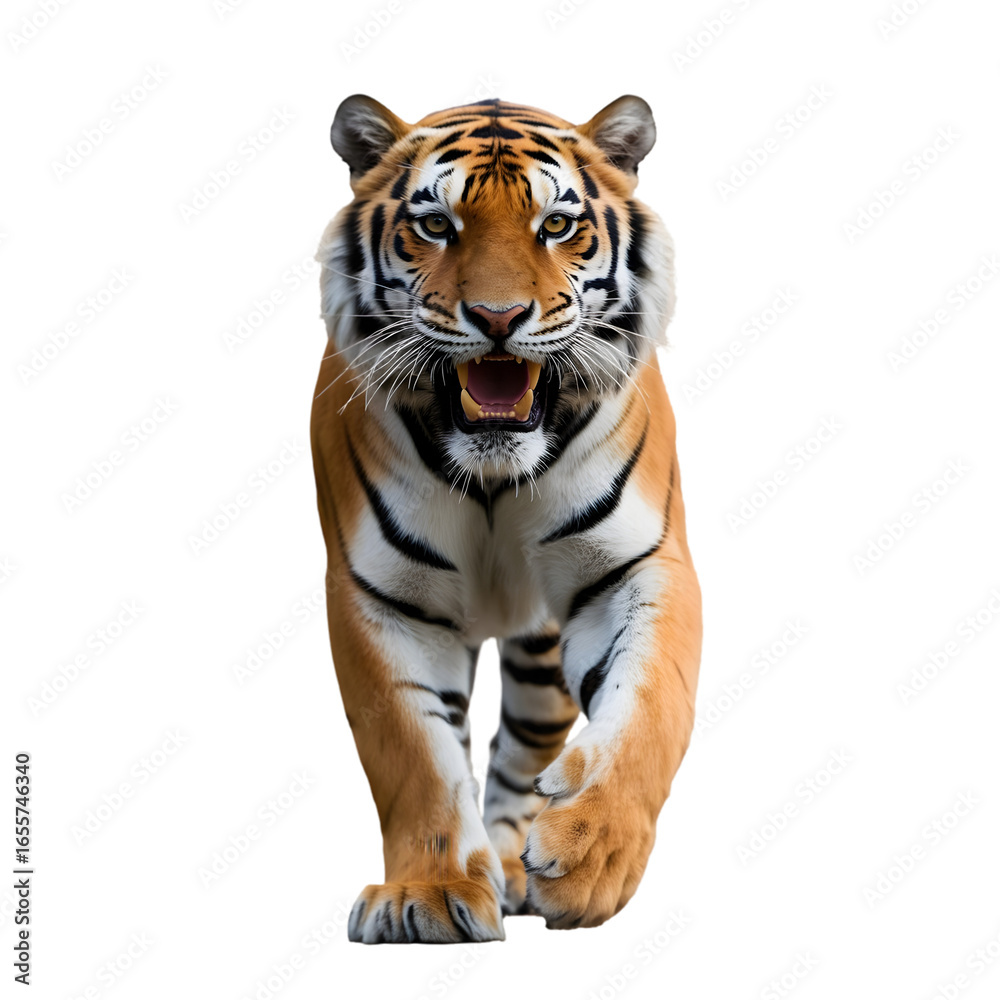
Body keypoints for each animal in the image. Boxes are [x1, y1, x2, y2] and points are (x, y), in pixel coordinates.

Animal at [310, 94, 701, 943]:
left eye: (555, 225)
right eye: (436, 225)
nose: (497, 317)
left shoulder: (634, 567)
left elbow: (650, 709)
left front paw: (590, 854)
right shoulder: (381, 596)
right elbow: (414, 754)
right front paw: (426, 895)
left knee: (524, 745)